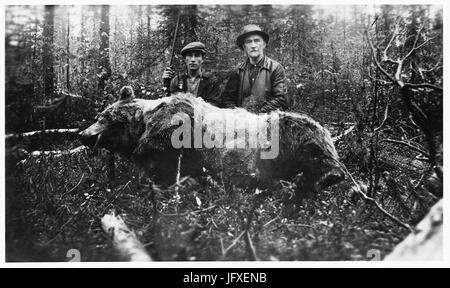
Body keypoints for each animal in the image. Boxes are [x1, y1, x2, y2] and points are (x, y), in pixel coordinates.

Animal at [79, 86, 344, 200]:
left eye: (104, 118)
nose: (83, 134)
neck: (145, 123)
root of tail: (329, 131)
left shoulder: (176, 132)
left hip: (290, 133)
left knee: (320, 158)